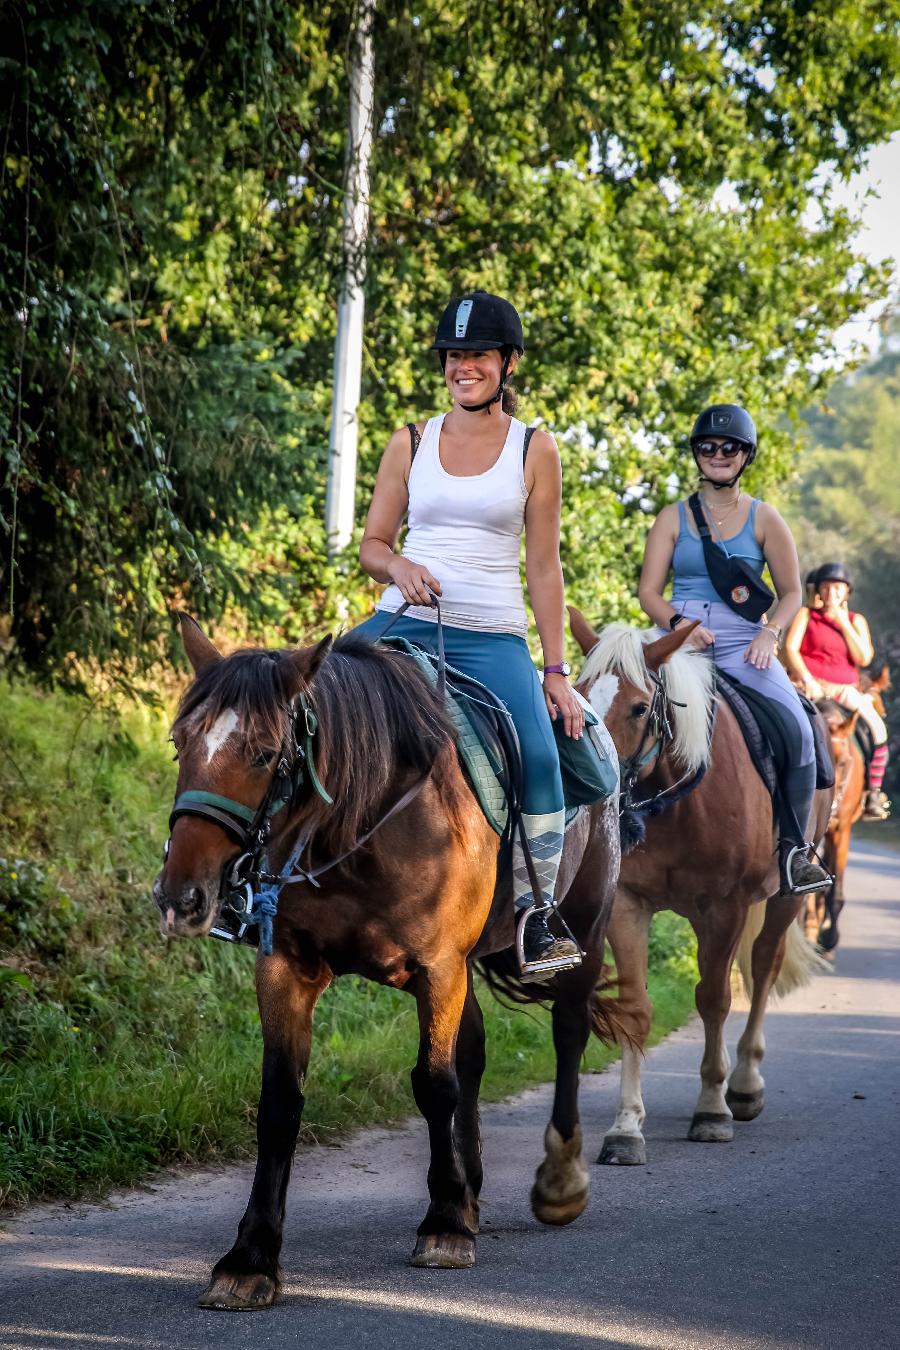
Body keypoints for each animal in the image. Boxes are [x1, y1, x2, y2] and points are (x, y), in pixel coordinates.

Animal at [155, 615, 620, 1306]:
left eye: (264, 753)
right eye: (180, 741)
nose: (181, 896)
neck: (364, 818)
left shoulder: (438, 968)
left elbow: (433, 1085)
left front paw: (443, 1227)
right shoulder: (287, 968)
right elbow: (280, 1104)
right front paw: (250, 1257)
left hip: (583, 929)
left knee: (567, 1031)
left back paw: (557, 1182)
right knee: (474, 1051)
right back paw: (470, 1191)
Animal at [569, 610, 831, 1161]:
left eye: (639, 707)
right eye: (579, 695)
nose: (598, 789)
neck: (673, 802)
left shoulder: (724, 907)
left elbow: (714, 998)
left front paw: (712, 1109)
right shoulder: (628, 905)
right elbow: (635, 1008)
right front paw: (626, 1126)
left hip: (782, 902)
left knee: (763, 967)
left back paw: (745, 1085)